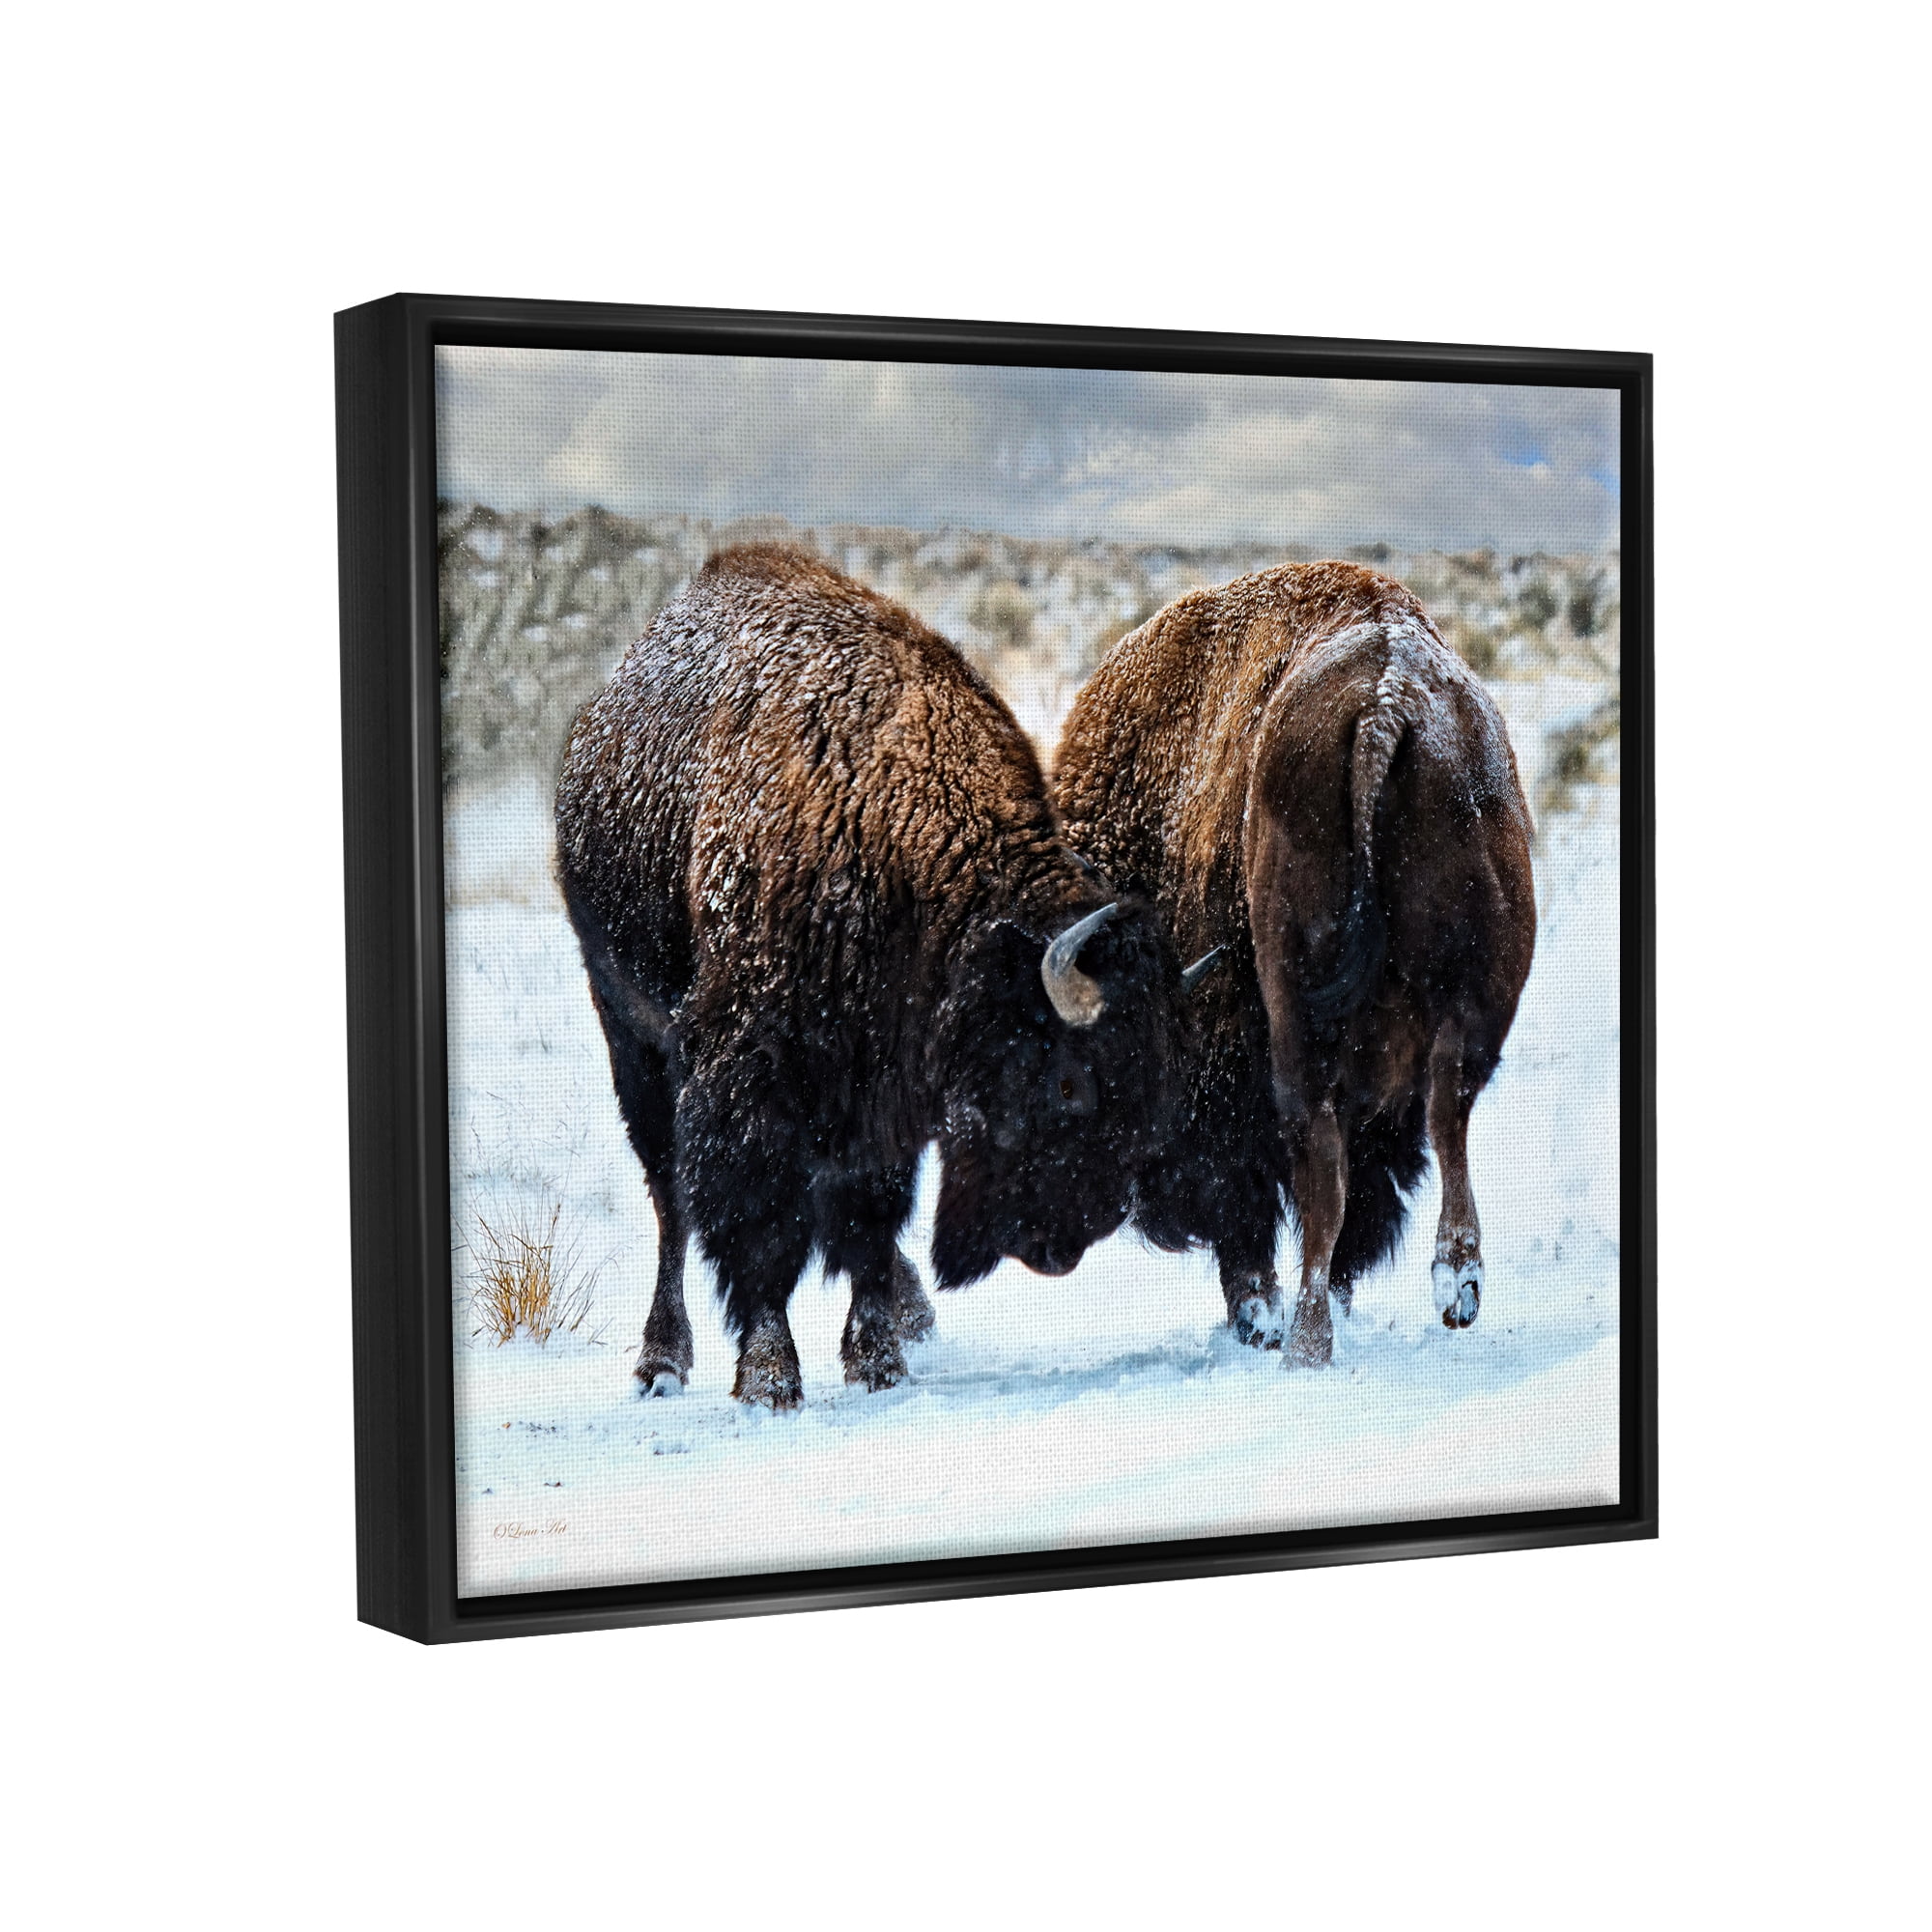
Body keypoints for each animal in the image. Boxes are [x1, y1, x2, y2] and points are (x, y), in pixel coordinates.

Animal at [556, 545, 1195, 1408]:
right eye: (1069, 1084)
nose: (1068, 1241)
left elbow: (866, 1219)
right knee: (669, 1200)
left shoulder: (881, 1089)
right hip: (629, 1031)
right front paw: (770, 1380)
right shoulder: (748, 1077)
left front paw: (878, 1361)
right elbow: (761, 1230)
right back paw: (662, 1361)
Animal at [1053, 562, 1537, 1366]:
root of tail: (1388, 702)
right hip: (1479, 992)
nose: (1153, 1214)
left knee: (1324, 1164)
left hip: (1298, 1016)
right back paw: (1455, 1286)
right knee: (1447, 1110)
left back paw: (1306, 1341)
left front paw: (1260, 1318)